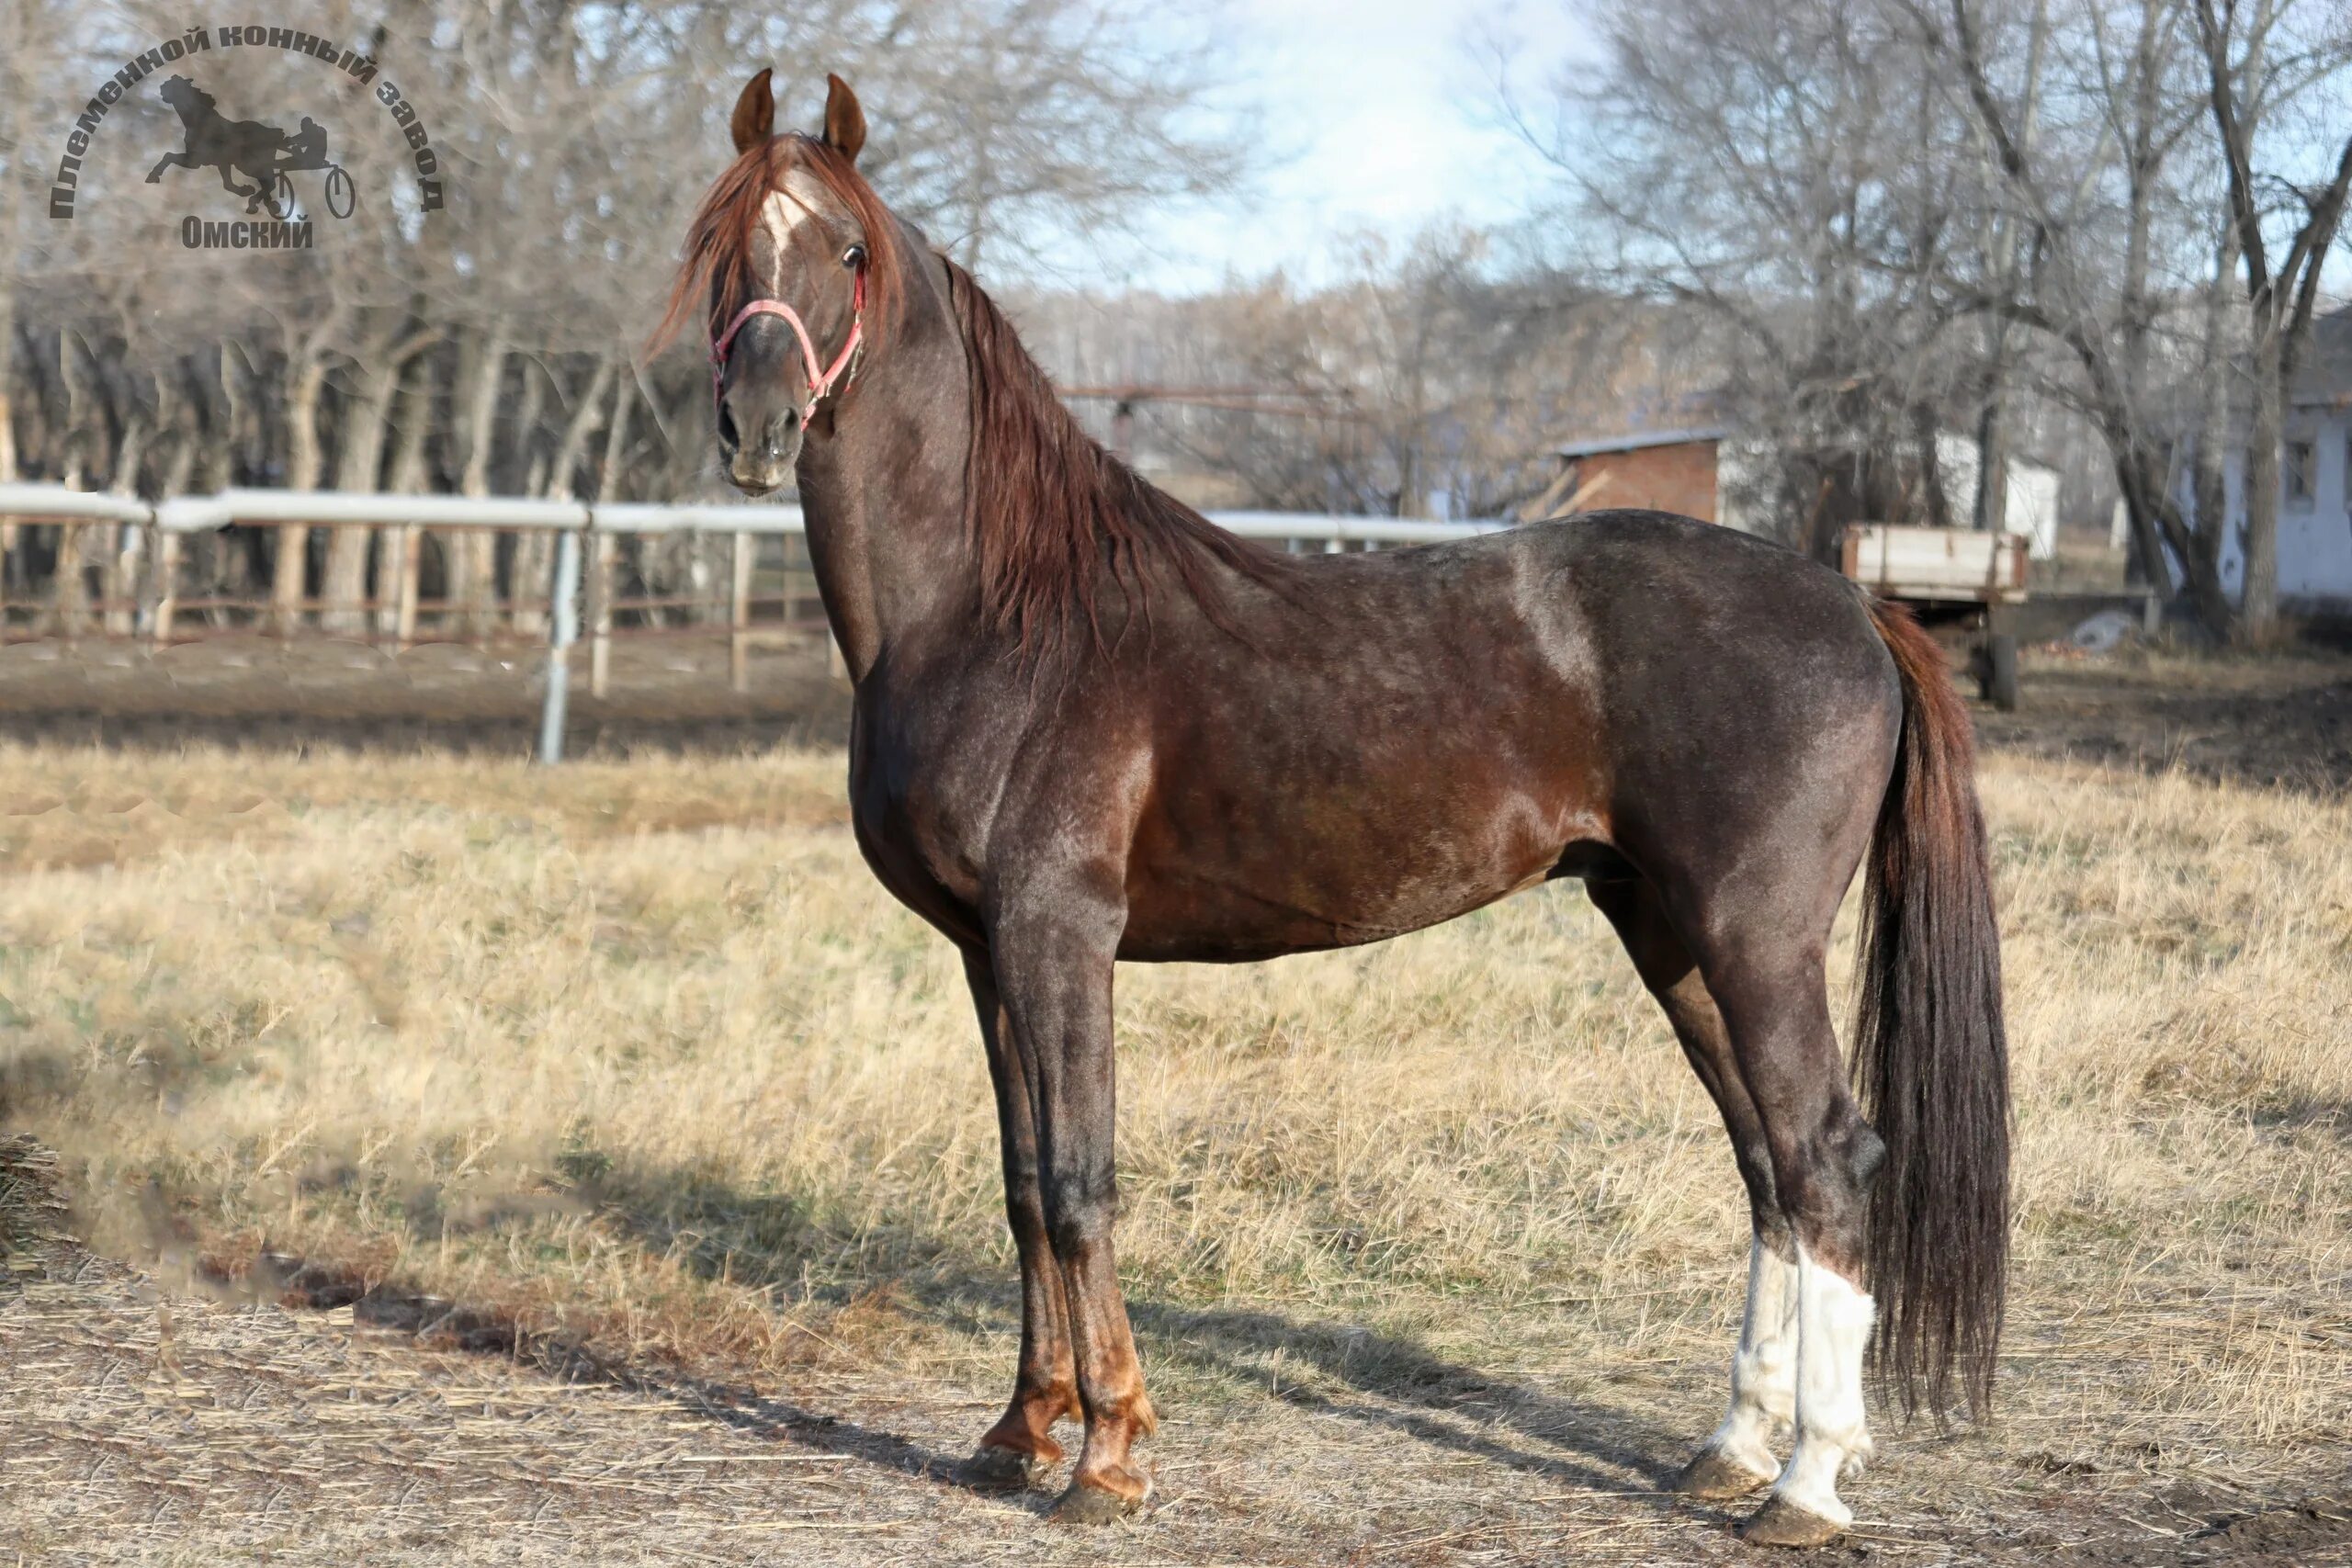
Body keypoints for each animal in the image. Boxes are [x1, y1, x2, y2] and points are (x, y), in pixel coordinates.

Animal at [673, 70, 2013, 1541]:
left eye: (848, 251)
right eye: (723, 245)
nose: (755, 424)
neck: (996, 607)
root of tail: (1854, 604)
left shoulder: (1059, 935)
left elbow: (1081, 1186)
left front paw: (1110, 1455)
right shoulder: (985, 951)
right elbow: (1024, 1188)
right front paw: (1017, 1433)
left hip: (1757, 939)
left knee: (1825, 1157)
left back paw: (1808, 1483)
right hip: (1671, 935)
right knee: (1768, 1167)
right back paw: (1731, 1447)